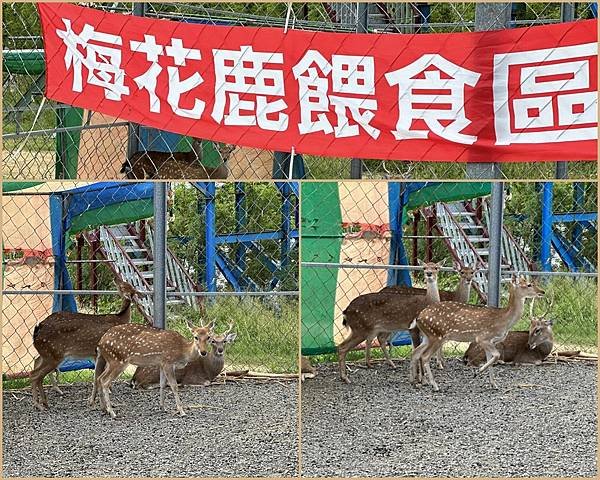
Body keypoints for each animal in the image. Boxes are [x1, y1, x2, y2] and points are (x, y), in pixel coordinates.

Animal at [29, 280, 138, 410]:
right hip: (53, 355)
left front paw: (94, 401)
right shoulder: (100, 354)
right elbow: (97, 378)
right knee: (34, 374)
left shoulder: (96, 355)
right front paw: (97, 401)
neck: (120, 319)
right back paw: (39, 404)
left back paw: (45, 401)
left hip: (47, 353)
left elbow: (96, 377)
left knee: (36, 365)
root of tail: (38, 329)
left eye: (124, 285)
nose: (116, 280)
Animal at [412, 276, 544, 392]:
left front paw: (494, 384)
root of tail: (419, 317)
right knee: (425, 356)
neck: (503, 320)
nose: (542, 291)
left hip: (428, 337)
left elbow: (492, 359)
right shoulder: (483, 337)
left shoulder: (491, 342)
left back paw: (415, 381)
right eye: (529, 284)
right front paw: (477, 372)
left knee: (416, 353)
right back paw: (435, 386)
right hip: (437, 336)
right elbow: (496, 355)